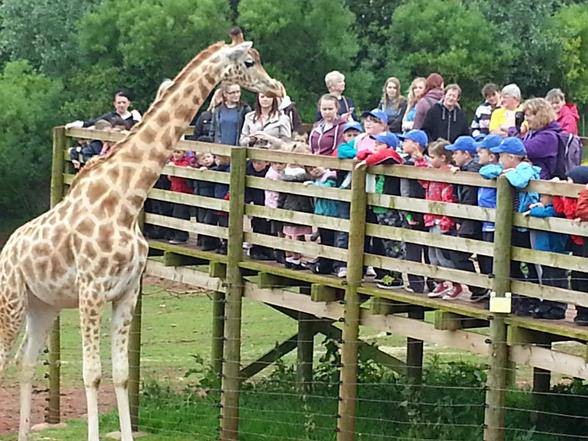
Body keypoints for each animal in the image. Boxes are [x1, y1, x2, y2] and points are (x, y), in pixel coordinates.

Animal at [0, 28, 284, 440]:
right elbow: (92, 374)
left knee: (25, 360)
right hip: (12, 300)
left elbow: (120, 375)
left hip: (43, 305)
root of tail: (6, 249)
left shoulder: (127, 292)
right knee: (5, 360)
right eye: (250, 62)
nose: (276, 88)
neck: (126, 199)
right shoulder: (91, 291)